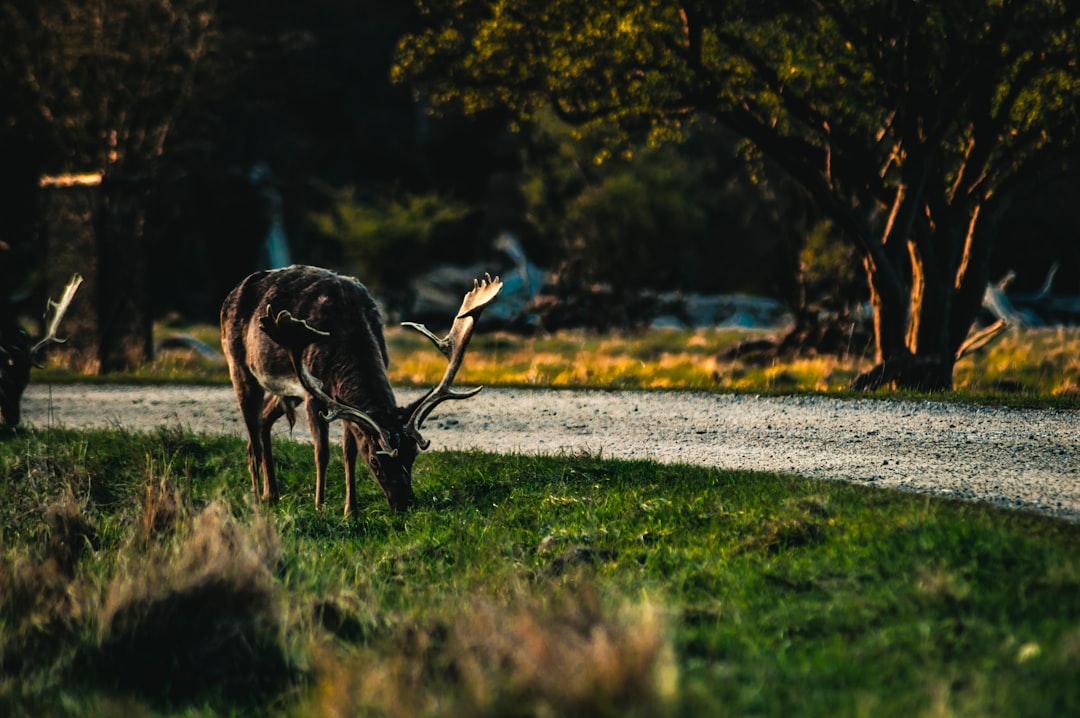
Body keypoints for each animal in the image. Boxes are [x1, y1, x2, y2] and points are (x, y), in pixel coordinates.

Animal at [220, 265, 505, 511]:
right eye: (376, 461)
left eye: (412, 455)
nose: (403, 504)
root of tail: (230, 294)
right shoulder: (315, 395)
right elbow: (322, 452)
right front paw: (320, 507)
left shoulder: (342, 402)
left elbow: (349, 451)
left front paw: (351, 511)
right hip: (240, 366)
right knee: (253, 437)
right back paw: (256, 498)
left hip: (287, 393)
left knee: (263, 422)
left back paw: (271, 495)